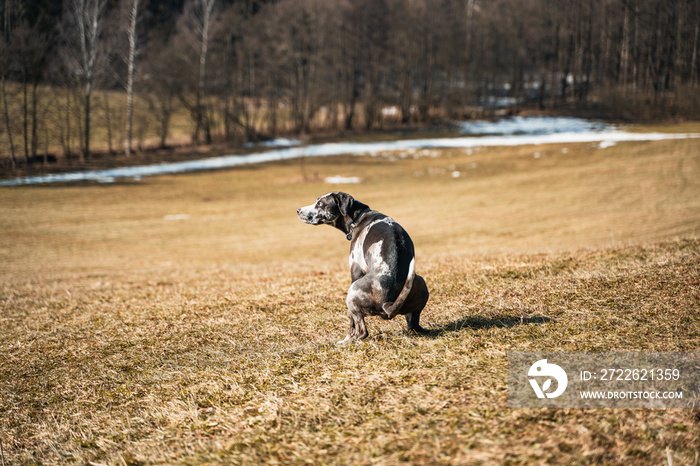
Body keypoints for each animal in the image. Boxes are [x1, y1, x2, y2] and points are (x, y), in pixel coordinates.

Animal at [294, 191, 426, 344]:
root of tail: (387, 303)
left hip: (352, 292)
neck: (357, 218)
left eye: (320, 204)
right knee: (413, 325)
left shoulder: (356, 269)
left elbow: (352, 323)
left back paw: (346, 343)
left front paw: (347, 337)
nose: (298, 210)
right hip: (421, 283)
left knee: (362, 331)